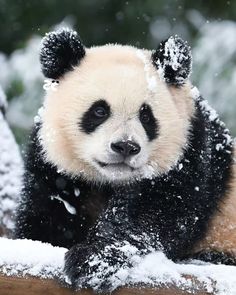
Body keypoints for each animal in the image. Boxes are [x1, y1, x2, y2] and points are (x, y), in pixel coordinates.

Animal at [15, 28, 236, 292]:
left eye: (146, 115)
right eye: (99, 111)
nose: (125, 147)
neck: (112, 181)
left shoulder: (191, 153)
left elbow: (152, 214)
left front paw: (92, 261)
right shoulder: (54, 165)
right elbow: (47, 212)